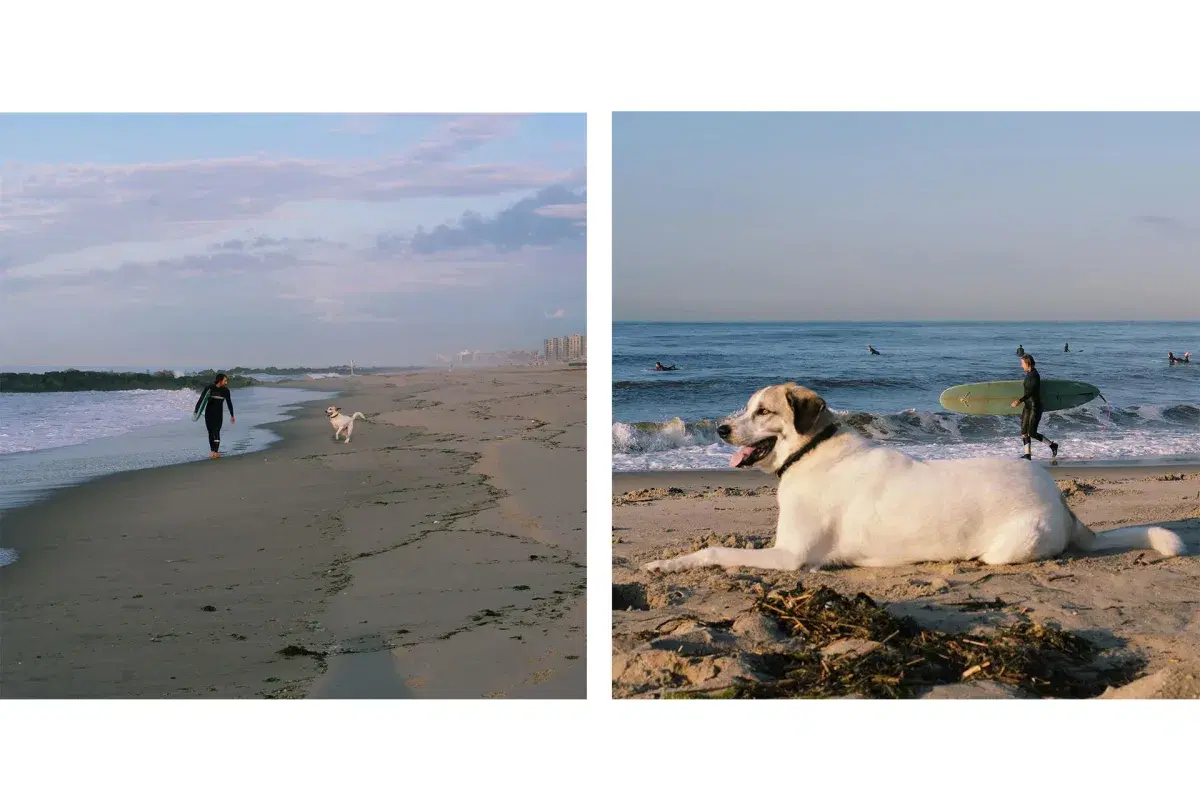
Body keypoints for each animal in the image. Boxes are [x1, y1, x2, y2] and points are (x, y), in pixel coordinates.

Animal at [643, 383, 1185, 575]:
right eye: (746, 407)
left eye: (762, 410)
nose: (720, 429)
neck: (810, 452)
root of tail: (1064, 504)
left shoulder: (791, 556)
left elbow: (715, 550)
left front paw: (668, 564)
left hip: (1011, 543)